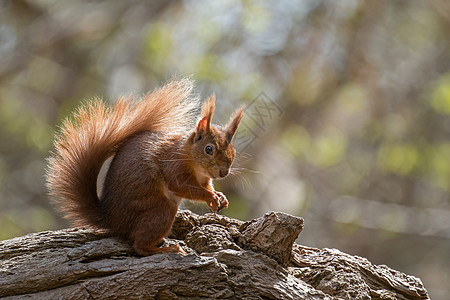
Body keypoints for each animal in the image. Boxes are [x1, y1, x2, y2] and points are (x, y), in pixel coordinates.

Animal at [46, 78, 243, 254]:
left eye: (233, 150)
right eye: (209, 149)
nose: (224, 172)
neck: (191, 158)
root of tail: (110, 219)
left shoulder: (204, 179)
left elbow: (207, 186)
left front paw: (220, 196)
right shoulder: (174, 165)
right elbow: (182, 186)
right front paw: (211, 197)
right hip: (160, 209)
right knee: (139, 247)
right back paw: (167, 249)